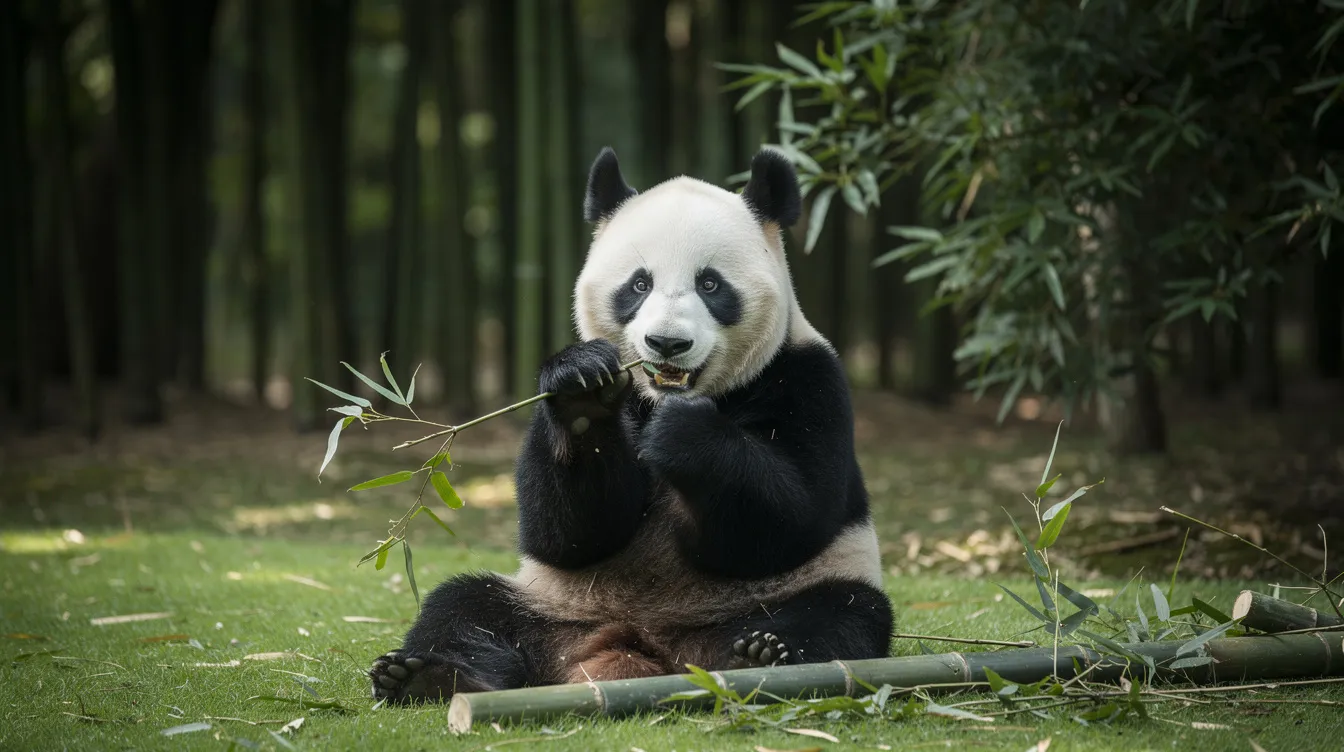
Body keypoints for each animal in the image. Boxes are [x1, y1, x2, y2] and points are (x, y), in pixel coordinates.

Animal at [369, 147, 893, 703]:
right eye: (639, 284)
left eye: (710, 284)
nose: (666, 343)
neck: (665, 397)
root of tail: (636, 644)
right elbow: (566, 533)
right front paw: (582, 395)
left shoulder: (808, 379)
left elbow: (794, 517)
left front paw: (685, 437)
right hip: (551, 602)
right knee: (463, 606)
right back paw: (430, 675)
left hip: (778, 597)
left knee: (843, 615)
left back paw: (759, 658)